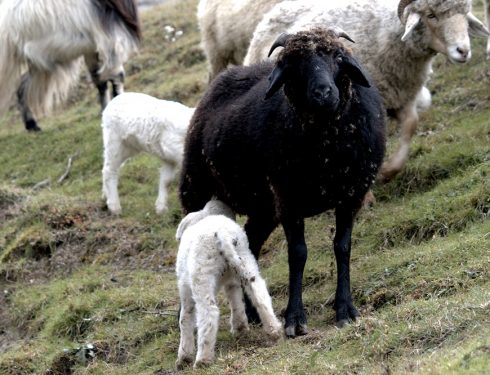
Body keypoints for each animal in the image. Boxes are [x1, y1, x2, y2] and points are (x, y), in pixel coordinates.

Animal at [176, 201, 284, 368]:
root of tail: (223, 235)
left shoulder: (185, 288)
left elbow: (185, 318)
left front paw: (184, 356)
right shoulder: (232, 281)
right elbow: (236, 301)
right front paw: (240, 328)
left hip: (202, 275)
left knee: (209, 313)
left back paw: (203, 360)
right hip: (245, 259)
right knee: (259, 295)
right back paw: (274, 331)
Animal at [180, 27, 386, 338]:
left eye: (338, 57)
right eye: (292, 66)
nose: (323, 93)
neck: (327, 155)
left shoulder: (351, 196)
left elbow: (342, 246)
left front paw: (345, 310)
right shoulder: (289, 200)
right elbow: (298, 254)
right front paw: (295, 318)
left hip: (264, 208)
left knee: (250, 244)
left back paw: (253, 313)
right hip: (196, 191)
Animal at [243, 0, 488, 182]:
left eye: (464, 15)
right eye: (431, 15)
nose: (463, 51)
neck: (386, 34)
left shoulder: (401, 97)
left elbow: (411, 125)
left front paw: (388, 171)